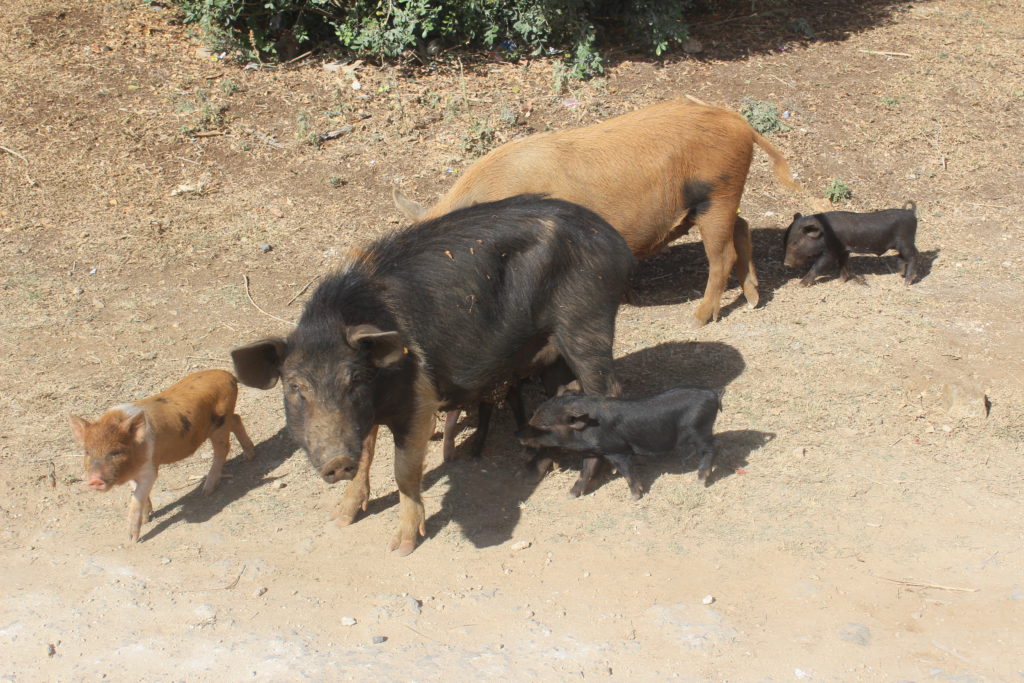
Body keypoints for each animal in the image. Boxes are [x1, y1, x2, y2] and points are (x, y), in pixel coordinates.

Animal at [68, 369, 256, 543]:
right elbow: (135, 490)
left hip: (220, 424)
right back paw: (248, 456)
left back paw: (206, 491)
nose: (94, 480)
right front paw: (148, 517)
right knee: (237, 419)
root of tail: (228, 375)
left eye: (116, 452)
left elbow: (136, 498)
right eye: (87, 452)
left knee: (223, 449)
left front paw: (132, 539)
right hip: (225, 420)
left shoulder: (151, 469)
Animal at [231, 195, 633, 555]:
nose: (335, 460)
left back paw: (579, 487)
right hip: (552, 349)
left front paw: (402, 547)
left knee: (606, 391)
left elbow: (404, 472)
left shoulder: (419, 400)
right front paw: (339, 519)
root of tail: (613, 238)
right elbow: (366, 457)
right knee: (563, 395)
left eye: (355, 380)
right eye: (295, 386)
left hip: (586, 321)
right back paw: (530, 472)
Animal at [393, 97, 801, 327]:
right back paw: (753, 301)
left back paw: (699, 321)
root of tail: (741, 123)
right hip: (718, 200)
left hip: (718, 193)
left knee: (722, 255)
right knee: (743, 228)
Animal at [517, 386, 722, 499]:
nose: (518, 435)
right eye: (535, 412)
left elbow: (627, 472)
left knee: (712, 448)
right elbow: (586, 471)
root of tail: (713, 393)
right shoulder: (595, 452)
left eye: (545, 424)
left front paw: (635, 497)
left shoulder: (617, 450)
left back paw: (700, 481)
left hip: (700, 430)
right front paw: (570, 495)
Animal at [783, 201, 919, 286]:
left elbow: (819, 265)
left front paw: (800, 284)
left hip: (906, 241)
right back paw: (900, 274)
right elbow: (843, 264)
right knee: (904, 256)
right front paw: (840, 281)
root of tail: (911, 212)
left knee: (914, 255)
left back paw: (907, 282)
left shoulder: (832, 251)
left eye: (795, 242)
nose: (786, 264)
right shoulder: (844, 250)